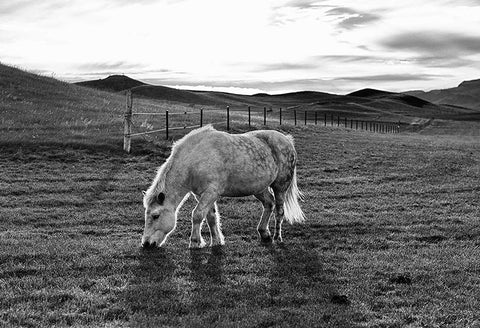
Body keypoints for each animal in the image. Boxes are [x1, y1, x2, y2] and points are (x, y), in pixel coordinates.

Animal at [142, 125, 304, 249]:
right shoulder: (202, 195)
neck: (195, 160)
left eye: (155, 216)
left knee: (279, 211)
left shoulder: (211, 192)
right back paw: (264, 233)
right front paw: (216, 241)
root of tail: (287, 140)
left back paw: (277, 237)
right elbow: (211, 217)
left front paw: (195, 242)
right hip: (259, 189)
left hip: (280, 187)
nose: (146, 244)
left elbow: (197, 215)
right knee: (269, 204)